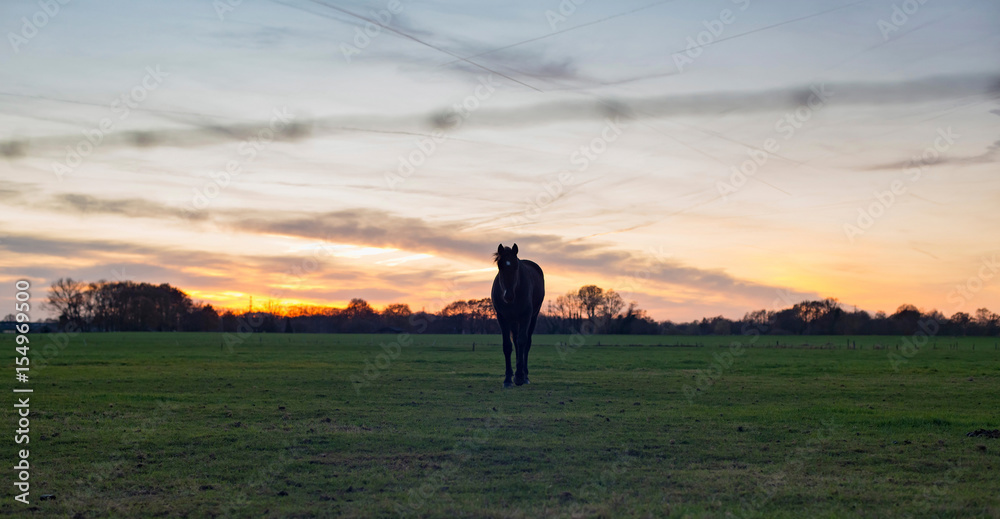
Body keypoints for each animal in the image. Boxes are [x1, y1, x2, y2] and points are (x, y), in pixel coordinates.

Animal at [492, 246, 548, 388]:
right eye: (500, 265)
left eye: (516, 266)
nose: (508, 295)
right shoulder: (502, 318)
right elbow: (507, 345)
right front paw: (507, 379)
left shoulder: (526, 316)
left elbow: (523, 342)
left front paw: (519, 377)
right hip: (513, 321)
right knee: (516, 342)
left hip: (532, 318)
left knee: (525, 344)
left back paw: (525, 375)